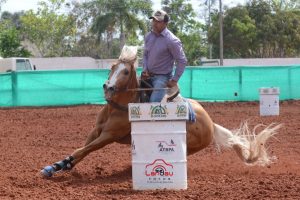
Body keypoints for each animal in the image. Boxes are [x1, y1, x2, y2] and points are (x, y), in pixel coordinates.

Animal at [41, 46, 280, 177]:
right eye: (112, 67)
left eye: (125, 71)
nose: (108, 87)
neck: (118, 108)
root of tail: (211, 123)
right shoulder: (96, 131)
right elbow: (82, 149)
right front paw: (57, 166)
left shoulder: (109, 135)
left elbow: (84, 150)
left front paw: (58, 167)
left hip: (190, 145)